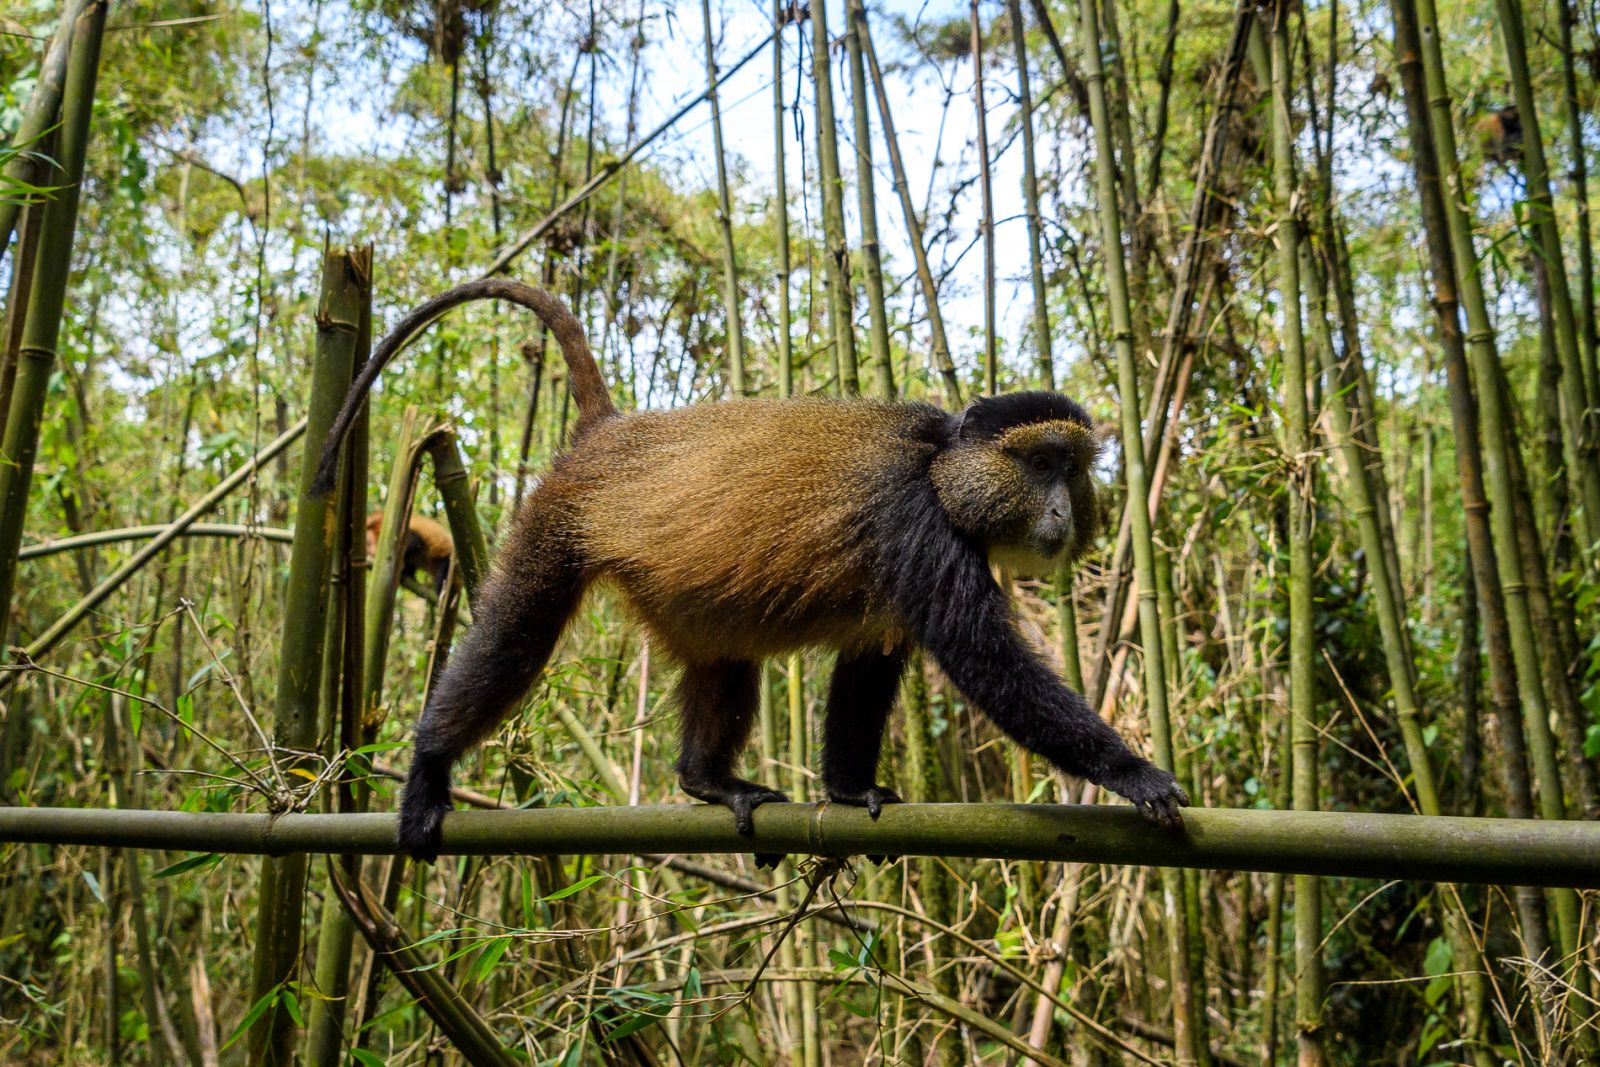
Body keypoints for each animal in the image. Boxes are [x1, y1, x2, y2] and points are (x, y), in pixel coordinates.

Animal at [310, 279, 1189, 863]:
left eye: (1072, 469)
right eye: (1039, 463)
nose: (1062, 511)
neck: (943, 468)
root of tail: (609, 434)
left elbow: (869, 669)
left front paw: (848, 790)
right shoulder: (917, 527)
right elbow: (989, 663)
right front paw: (1134, 772)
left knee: (724, 661)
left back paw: (708, 782)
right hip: (555, 527)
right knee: (512, 642)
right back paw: (429, 766)